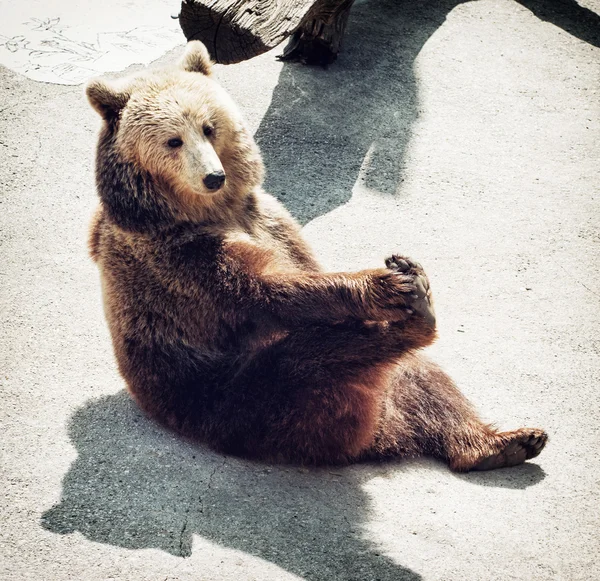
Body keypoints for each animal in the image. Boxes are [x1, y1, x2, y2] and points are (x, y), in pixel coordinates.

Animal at [85, 43, 548, 472]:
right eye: (173, 140)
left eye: (209, 127)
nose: (214, 176)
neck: (205, 211)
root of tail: (384, 435)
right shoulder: (178, 256)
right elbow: (269, 287)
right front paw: (386, 282)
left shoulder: (270, 218)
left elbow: (304, 265)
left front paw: (402, 270)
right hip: (234, 398)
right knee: (317, 360)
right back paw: (415, 316)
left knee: (425, 380)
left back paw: (505, 441)